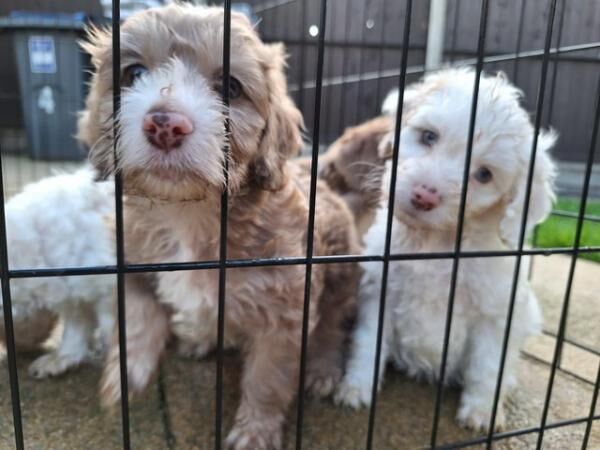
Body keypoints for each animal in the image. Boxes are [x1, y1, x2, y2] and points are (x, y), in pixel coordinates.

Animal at [78, 4, 359, 449]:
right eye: (133, 73)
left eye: (230, 86)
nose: (165, 124)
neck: (190, 214)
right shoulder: (135, 264)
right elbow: (137, 320)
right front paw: (126, 375)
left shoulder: (286, 310)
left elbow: (268, 378)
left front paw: (255, 431)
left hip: (341, 274)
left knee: (331, 324)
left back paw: (322, 368)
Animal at [335, 68, 556, 431]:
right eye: (429, 136)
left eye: (484, 174)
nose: (424, 195)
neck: (436, 243)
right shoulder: (380, 289)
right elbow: (368, 341)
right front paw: (355, 387)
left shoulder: (495, 313)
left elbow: (487, 365)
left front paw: (481, 411)